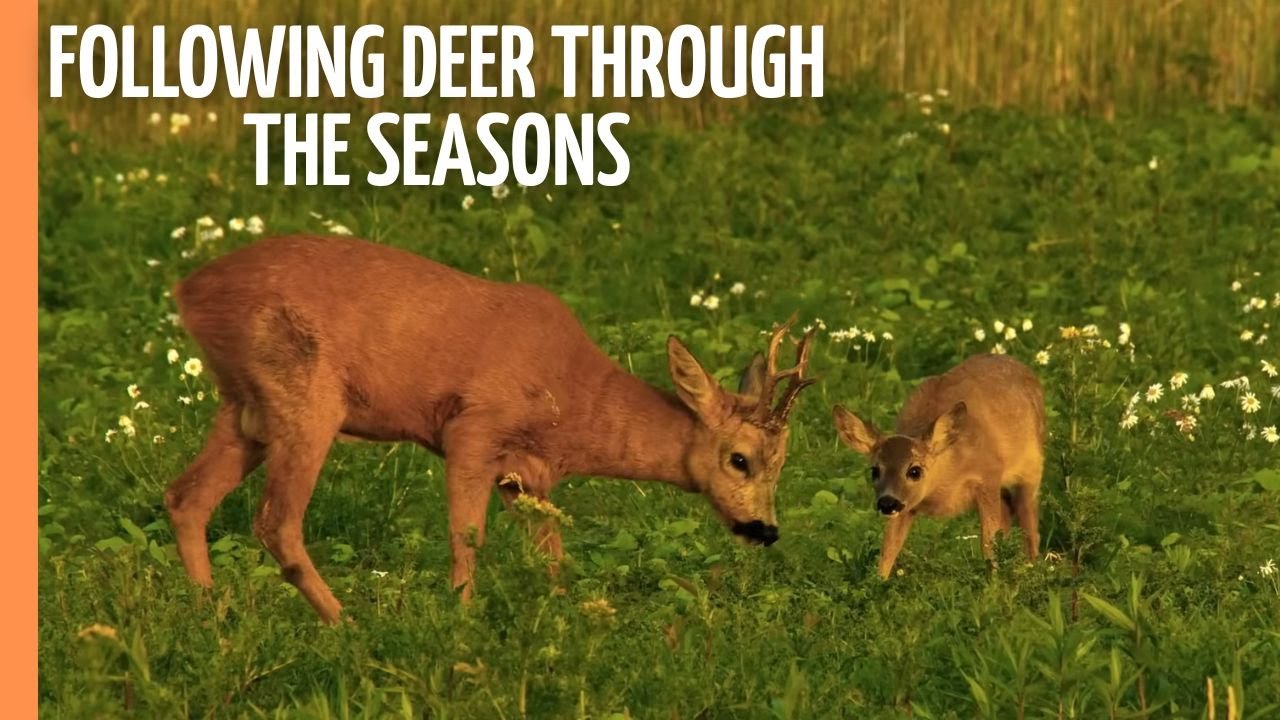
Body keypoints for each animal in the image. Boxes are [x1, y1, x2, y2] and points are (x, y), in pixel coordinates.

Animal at [165, 235, 818, 624]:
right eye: (739, 459)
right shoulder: (472, 431)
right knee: (276, 520)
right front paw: (462, 619)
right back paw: (344, 623)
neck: (572, 399)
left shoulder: (527, 474)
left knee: (185, 496)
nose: (765, 529)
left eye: (784, 462)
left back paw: (208, 613)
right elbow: (467, 539)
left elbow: (553, 556)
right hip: (305, 397)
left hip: (245, 410)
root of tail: (188, 290)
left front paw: (566, 617)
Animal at [831, 354, 1044, 579]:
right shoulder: (907, 505)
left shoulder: (989, 475)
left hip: (1032, 469)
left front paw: (993, 583)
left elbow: (988, 542)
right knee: (1008, 513)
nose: (887, 503)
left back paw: (1031, 567)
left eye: (914, 470)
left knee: (1029, 522)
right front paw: (878, 582)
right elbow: (888, 548)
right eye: (875, 470)